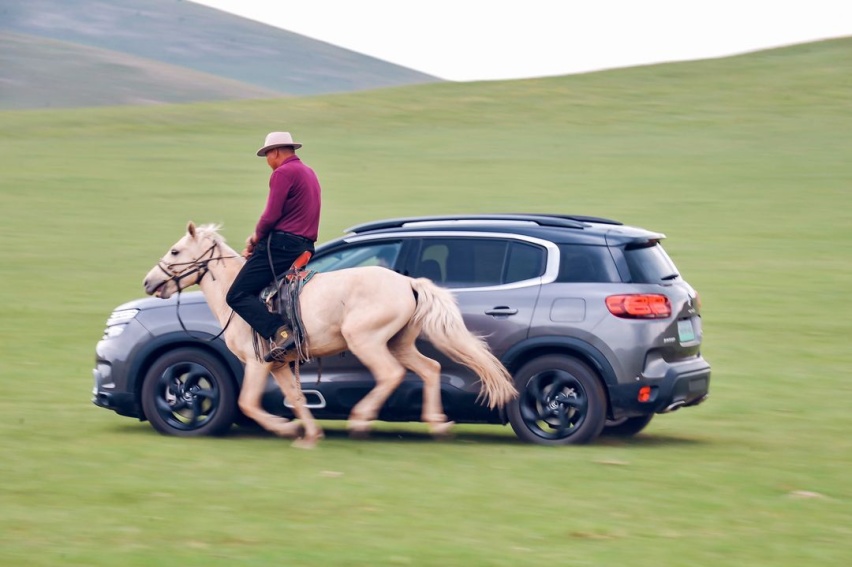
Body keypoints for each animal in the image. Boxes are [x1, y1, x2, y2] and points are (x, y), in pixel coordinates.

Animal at [143, 222, 516, 448]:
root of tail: (409, 282)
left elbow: (247, 402)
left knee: (390, 374)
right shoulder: (279, 364)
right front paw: (309, 434)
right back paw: (438, 424)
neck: (234, 298)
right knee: (430, 369)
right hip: (400, 343)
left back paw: (361, 419)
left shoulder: (257, 363)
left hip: (366, 341)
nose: (148, 282)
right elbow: (295, 397)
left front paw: (285, 428)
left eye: (175, 251)